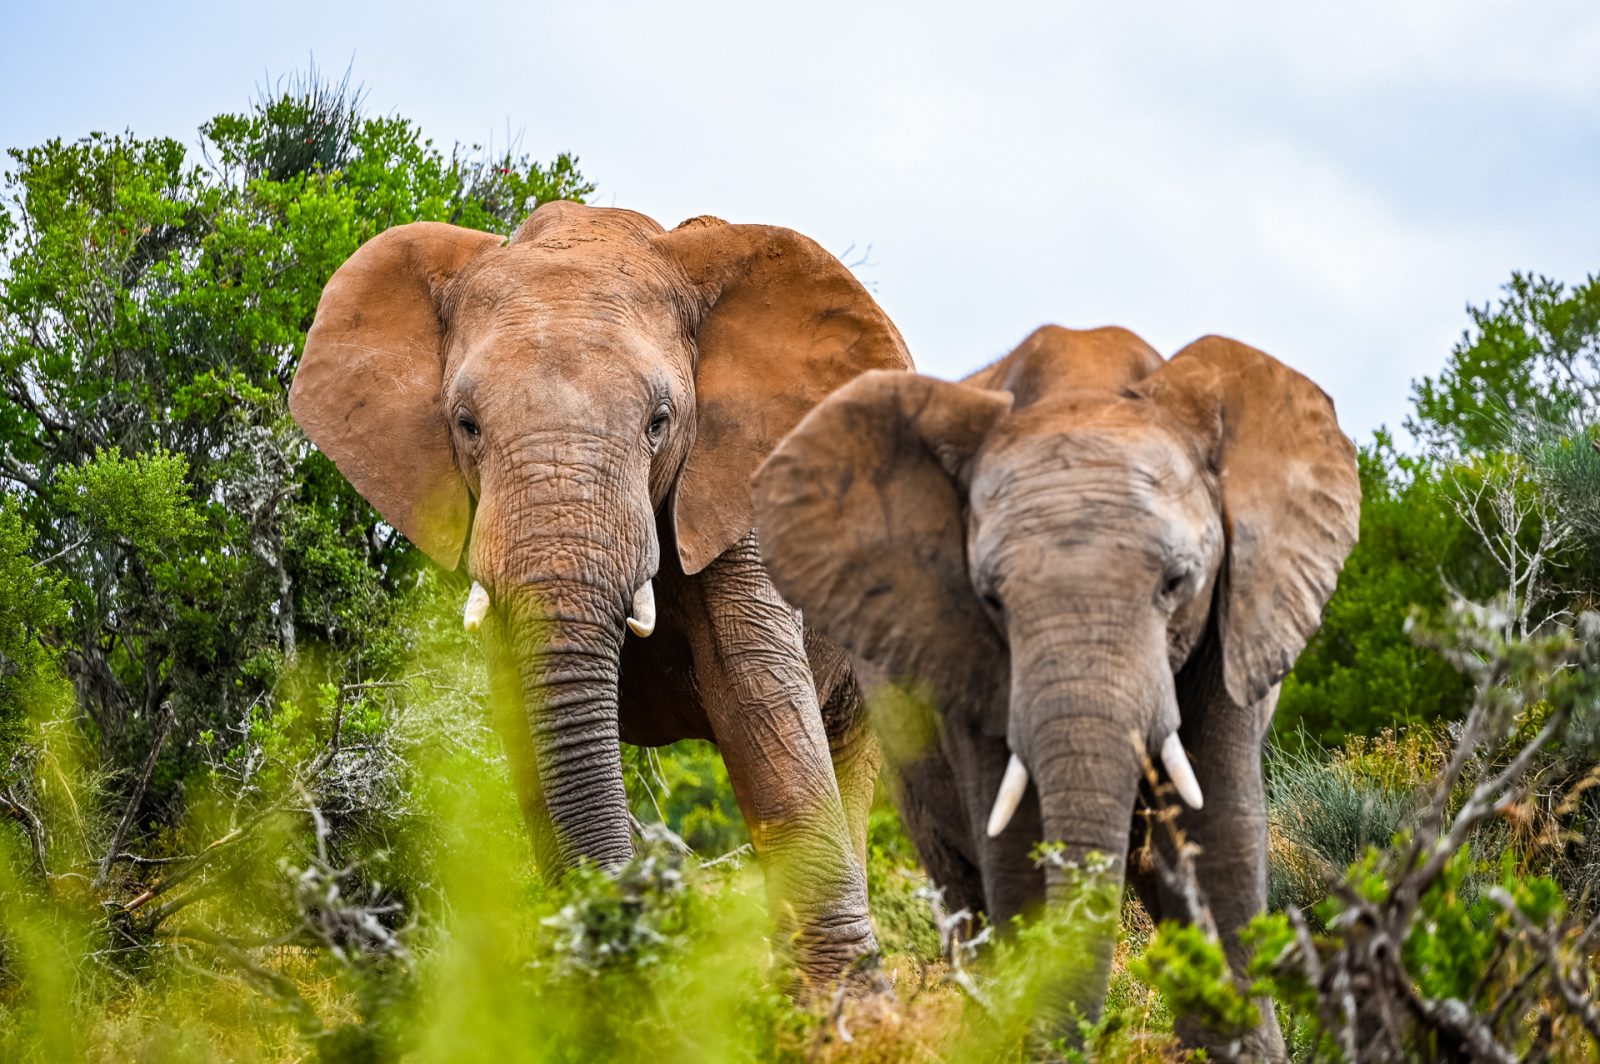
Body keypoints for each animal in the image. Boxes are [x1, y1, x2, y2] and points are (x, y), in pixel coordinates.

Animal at [288, 201, 913, 986]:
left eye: (659, 422)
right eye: (466, 425)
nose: (649, 889)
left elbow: (761, 704)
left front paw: (847, 1010)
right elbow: (526, 722)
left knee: (849, 749)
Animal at [751, 324, 1360, 1055]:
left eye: (1177, 582)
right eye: (991, 599)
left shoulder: (1236, 618)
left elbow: (1219, 829)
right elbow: (1016, 848)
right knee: (965, 888)